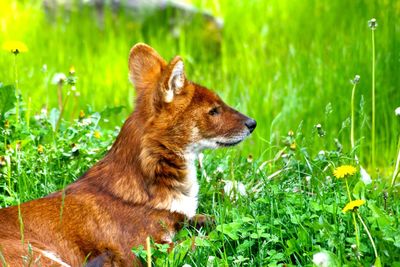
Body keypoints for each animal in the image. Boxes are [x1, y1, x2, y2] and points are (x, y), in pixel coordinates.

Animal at [0, 43, 256, 266]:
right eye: (214, 111)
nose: (252, 123)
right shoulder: (147, 250)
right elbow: (208, 240)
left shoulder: (181, 219)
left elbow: (207, 219)